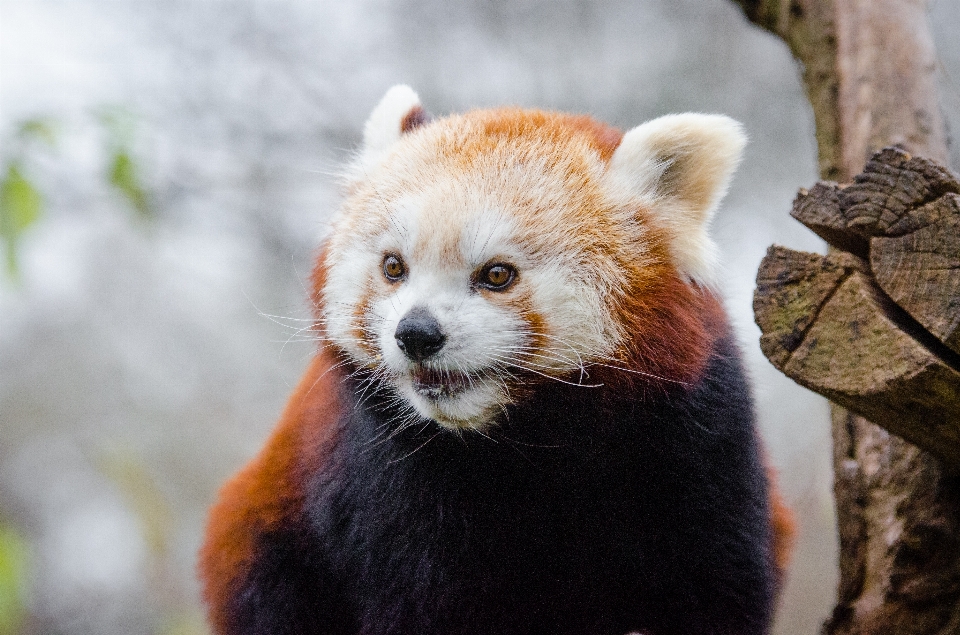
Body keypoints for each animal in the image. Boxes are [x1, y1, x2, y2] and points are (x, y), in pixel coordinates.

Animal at [201, 85, 796, 635]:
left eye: (497, 274)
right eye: (394, 267)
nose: (416, 334)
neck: (525, 442)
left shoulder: (696, 442)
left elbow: (715, 587)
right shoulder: (387, 481)